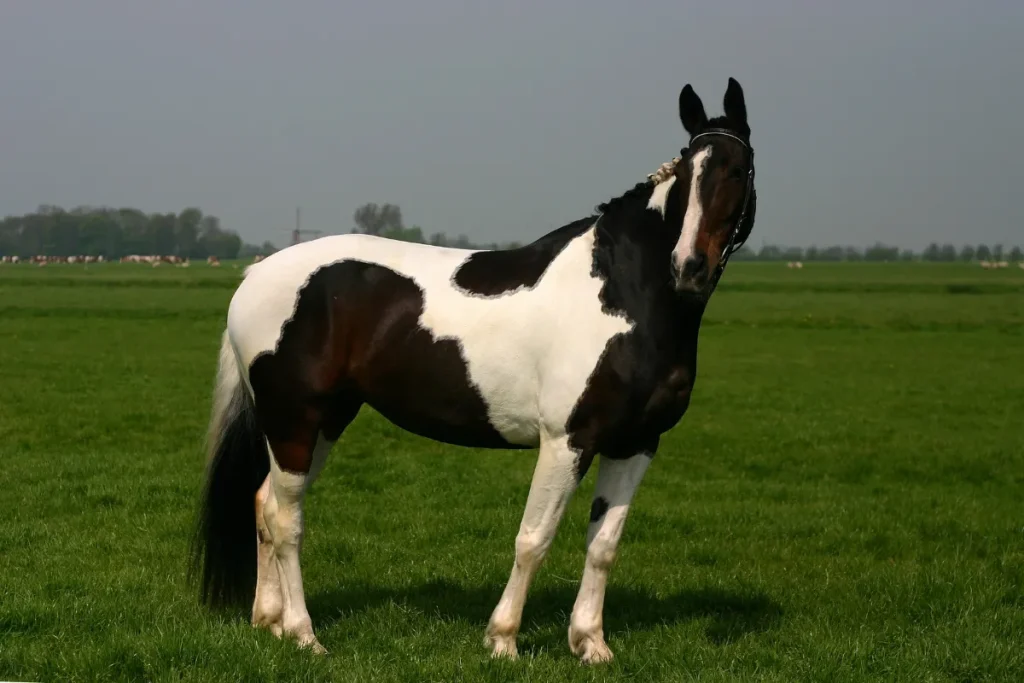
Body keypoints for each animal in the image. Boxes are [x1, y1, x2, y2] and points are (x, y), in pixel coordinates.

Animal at [190, 77, 757, 664]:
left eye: (739, 170)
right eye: (688, 171)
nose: (689, 267)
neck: (623, 292)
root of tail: (256, 274)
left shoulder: (636, 443)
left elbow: (603, 545)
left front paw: (591, 644)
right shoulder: (567, 441)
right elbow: (533, 539)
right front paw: (503, 640)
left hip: (324, 421)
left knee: (264, 503)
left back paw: (269, 622)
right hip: (295, 419)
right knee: (286, 520)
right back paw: (304, 634)